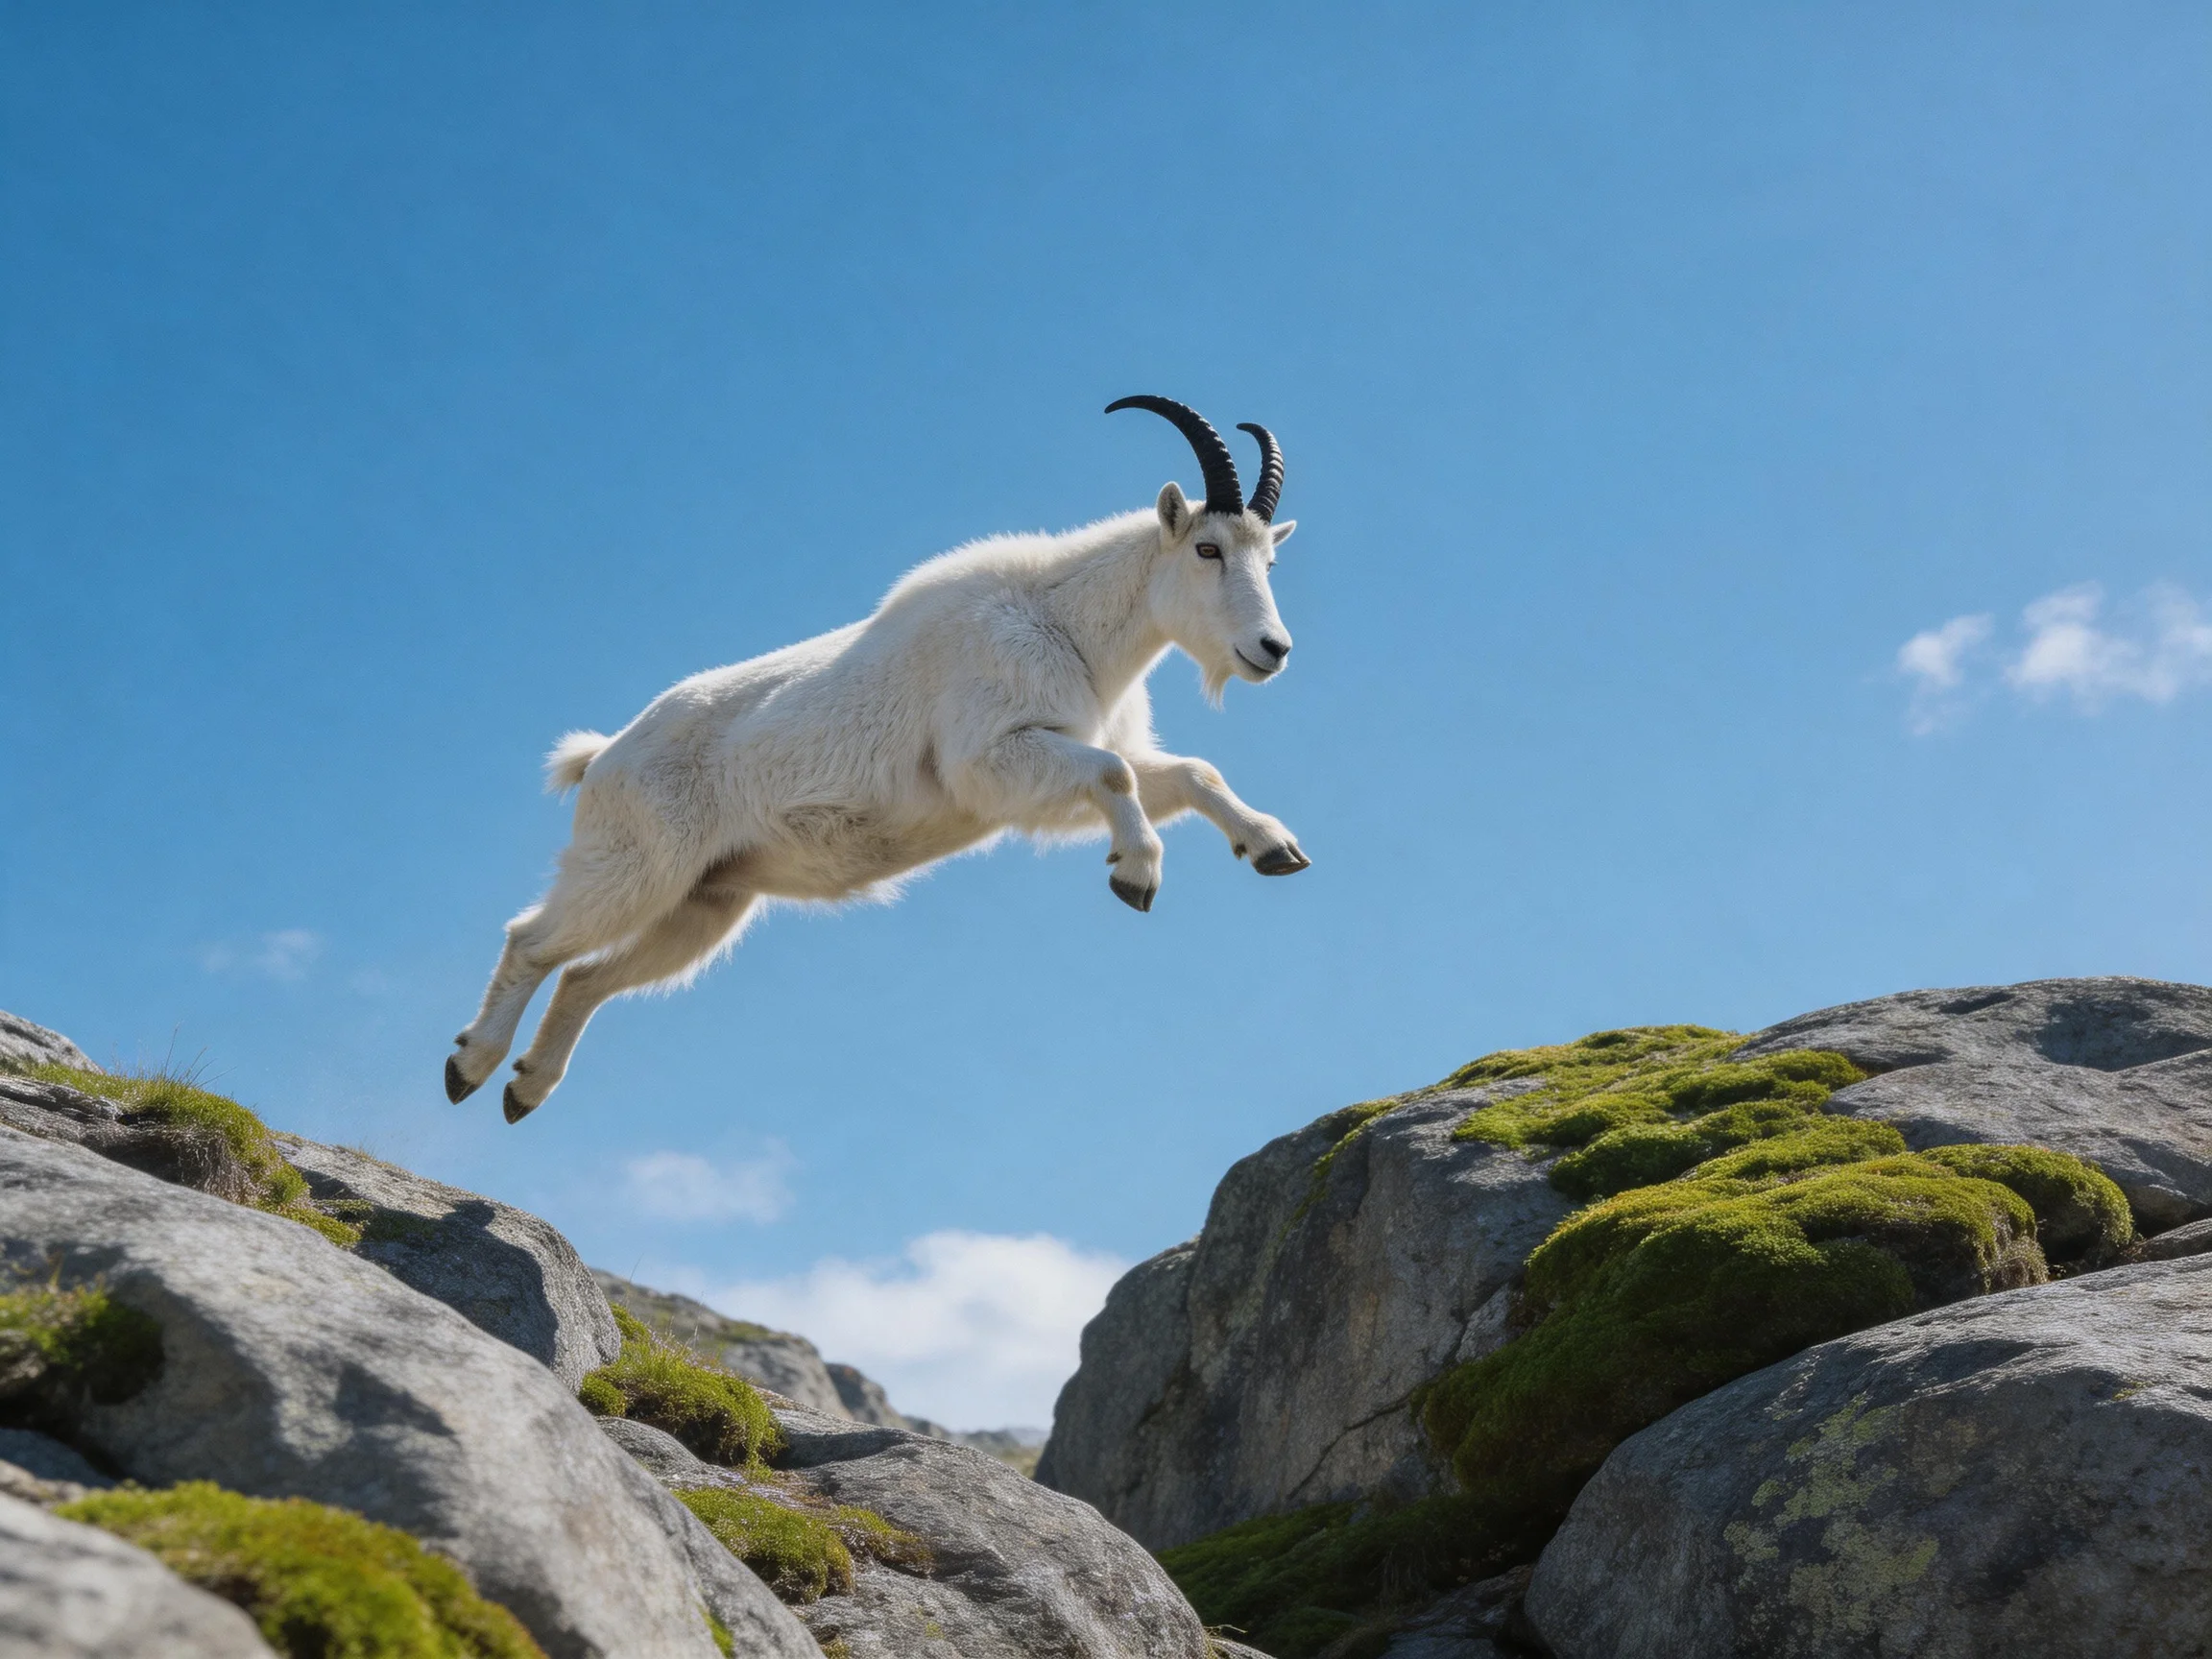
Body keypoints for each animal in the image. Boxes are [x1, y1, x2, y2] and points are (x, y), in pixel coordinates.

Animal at [447, 397, 1310, 1122]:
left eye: (1269, 563)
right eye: (1207, 548)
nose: (1272, 650)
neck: (1067, 623)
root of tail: (601, 760)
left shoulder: (1051, 773)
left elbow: (1187, 772)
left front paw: (1274, 849)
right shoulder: (993, 759)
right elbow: (1116, 773)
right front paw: (1136, 875)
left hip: (704, 902)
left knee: (585, 976)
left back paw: (524, 1090)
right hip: (636, 865)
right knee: (533, 940)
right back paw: (469, 1067)